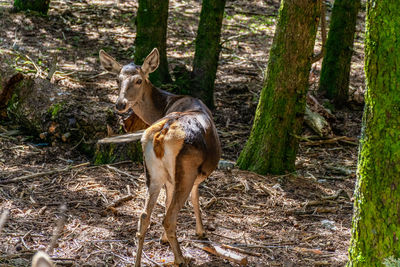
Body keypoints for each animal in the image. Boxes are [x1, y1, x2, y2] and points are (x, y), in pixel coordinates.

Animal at [98, 48, 220, 267]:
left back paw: (138, 262)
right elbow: (195, 196)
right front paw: (201, 232)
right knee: (169, 217)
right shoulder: (192, 175)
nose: (120, 104)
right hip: (186, 169)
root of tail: (161, 133)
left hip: (152, 172)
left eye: (139, 80)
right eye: (117, 80)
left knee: (144, 215)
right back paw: (180, 258)